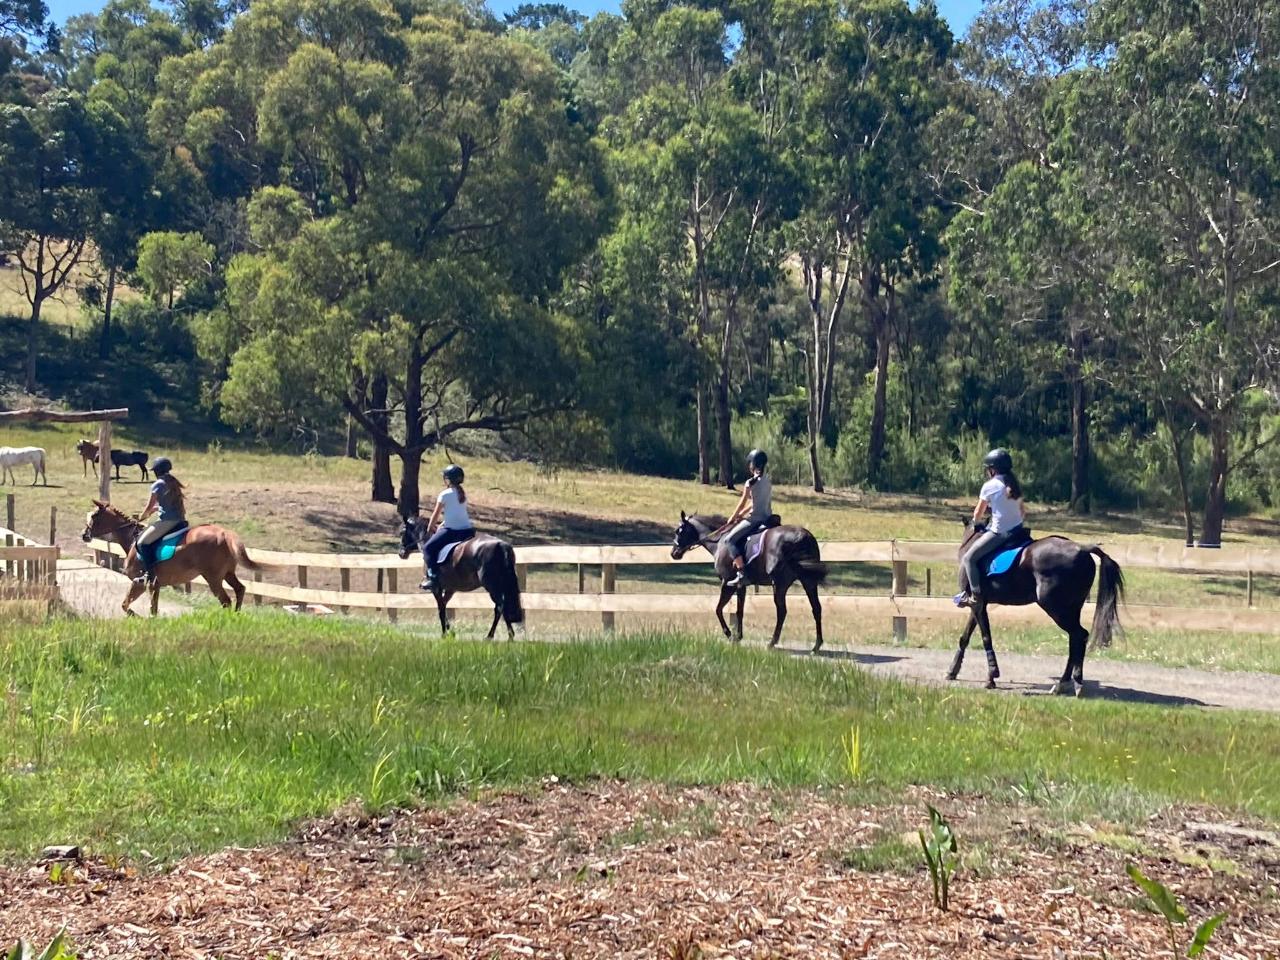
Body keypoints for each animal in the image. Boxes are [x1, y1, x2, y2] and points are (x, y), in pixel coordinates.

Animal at [80, 499, 257, 619]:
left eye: (94, 516)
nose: (84, 535)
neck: (132, 539)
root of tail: (224, 533)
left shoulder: (141, 583)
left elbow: (127, 605)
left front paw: (139, 618)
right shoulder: (154, 585)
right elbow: (149, 608)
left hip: (213, 578)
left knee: (226, 600)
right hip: (228, 573)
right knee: (240, 589)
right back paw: (236, 617)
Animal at [396, 514, 522, 642]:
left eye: (402, 532)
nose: (401, 553)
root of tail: (501, 545)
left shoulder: (436, 588)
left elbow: (440, 609)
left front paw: (444, 634)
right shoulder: (450, 589)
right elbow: (444, 605)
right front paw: (449, 630)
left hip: (492, 586)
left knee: (499, 607)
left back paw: (492, 636)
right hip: (502, 584)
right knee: (503, 607)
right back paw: (509, 636)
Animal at [670, 512, 829, 655]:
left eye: (679, 531)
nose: (674, 553)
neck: (720, 540)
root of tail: (802, 536)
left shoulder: (727, 583)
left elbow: (718, 609)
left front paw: (729, 634)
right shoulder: (741, 586)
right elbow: (739, 611)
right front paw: (738, 636)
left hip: (779, 584)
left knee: (782, 611)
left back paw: (772, 643)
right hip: (808, 582)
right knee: (816, 609)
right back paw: (816, 646)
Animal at [947, 522, 1126, 696]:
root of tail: (1082, 549)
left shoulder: (978, 604)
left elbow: (986, 637)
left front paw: (991, 676)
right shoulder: (978, 604)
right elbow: (965, 637)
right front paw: (953, 671)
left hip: (1056, 608)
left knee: (1079, 635)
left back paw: (1072, 683)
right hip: (1072, 608)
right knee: (1075, 638)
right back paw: (1063, 684)